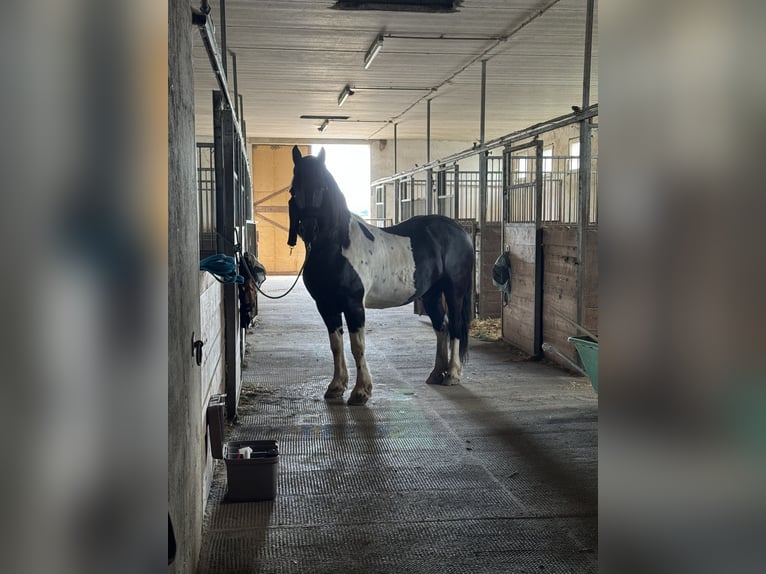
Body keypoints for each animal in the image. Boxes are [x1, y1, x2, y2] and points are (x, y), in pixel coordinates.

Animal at [288, 148, 474, 410]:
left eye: (322, 187)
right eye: (294, 190)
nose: (308, 229)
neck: (336, 247)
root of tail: (459, 231)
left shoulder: (354, 305)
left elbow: (357, 346)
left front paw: (360, 392)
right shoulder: (326, 306)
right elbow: (336, 345)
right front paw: (336, 387)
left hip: (454, 290)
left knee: (455, 325)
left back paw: (453, 375)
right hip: (431, 294)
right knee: (441, 326)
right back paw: (437, 374)